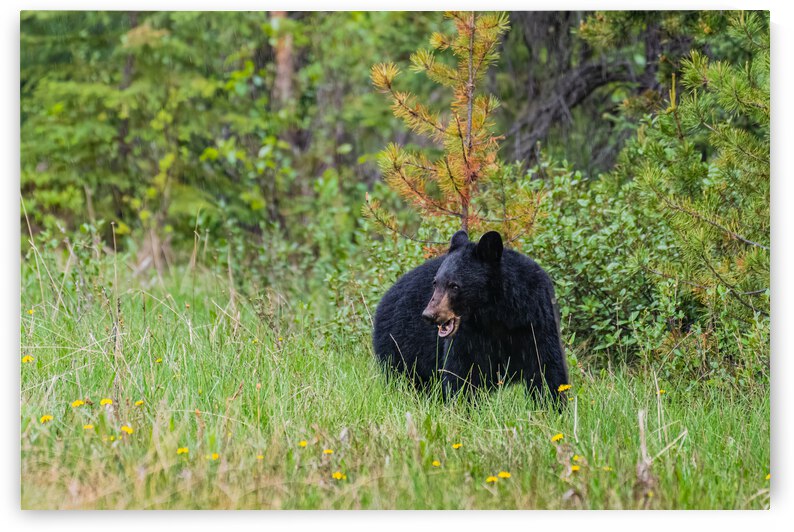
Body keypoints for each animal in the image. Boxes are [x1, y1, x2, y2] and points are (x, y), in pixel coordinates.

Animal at [372, 230, 568, 404]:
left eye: (454, 285)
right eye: (435, 283)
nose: (429, 315)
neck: (496, 314)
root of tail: (385, 298)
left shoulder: (535, 319)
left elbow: (546, 367)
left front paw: (552, 406)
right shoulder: (468, 337)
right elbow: (462, 372)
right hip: (401, 346)